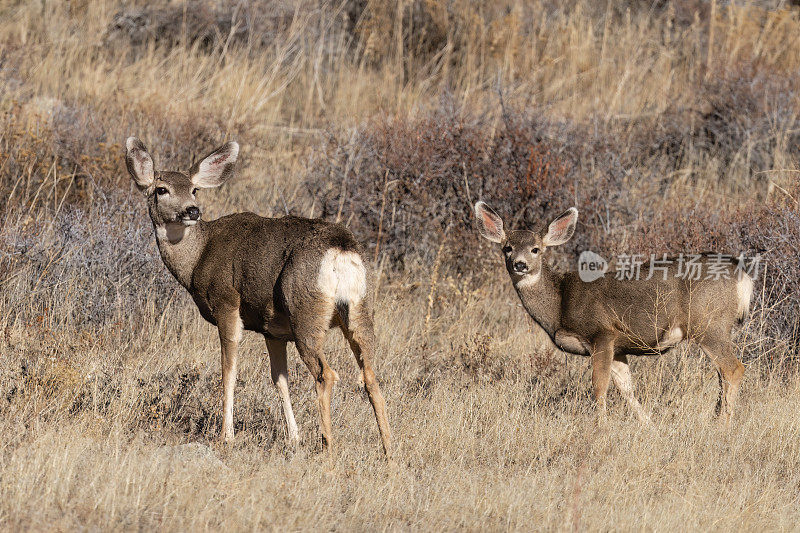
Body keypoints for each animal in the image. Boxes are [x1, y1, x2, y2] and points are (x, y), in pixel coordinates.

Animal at [124, 135, 394, 456]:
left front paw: (226, 436)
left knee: (326, 374)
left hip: (306, 311)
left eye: (194, 189)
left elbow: (229, 374)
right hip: (359, 309)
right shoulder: (273, 330)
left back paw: (328, 447)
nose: (192, 211)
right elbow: (280, 381)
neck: (198, 258)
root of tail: (340, 249)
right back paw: (390, 450)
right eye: (162, 189)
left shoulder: (226, 302)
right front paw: (294, 437)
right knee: (370, 375)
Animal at [472, 200, 752, 424]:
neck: (559, 303)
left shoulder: (602, 332)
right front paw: (648, 425)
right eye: (507, 247)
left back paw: (722, 426)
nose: (519, 264)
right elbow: (626, 388)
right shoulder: (619, 347)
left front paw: (600, 426)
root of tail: (741, 274)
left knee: (733, 369)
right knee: (722, 374)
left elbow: (599, 387)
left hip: (708, 322)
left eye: (535, 249)